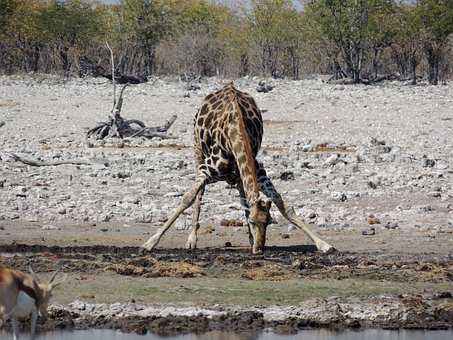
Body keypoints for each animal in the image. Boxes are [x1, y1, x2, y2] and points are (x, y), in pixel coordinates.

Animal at [143, 81, 334, 254]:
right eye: (253, 222)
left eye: (269, 222)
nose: (260, 249)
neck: (234, 133)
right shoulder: (206, 169)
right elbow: (187, 198)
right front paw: (150, 242)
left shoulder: (259, 172)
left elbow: (283, 205)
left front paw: (324, 244)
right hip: (197, 150)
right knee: (200, 195)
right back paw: (192, 240)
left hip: (236, 174)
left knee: (243, 196)